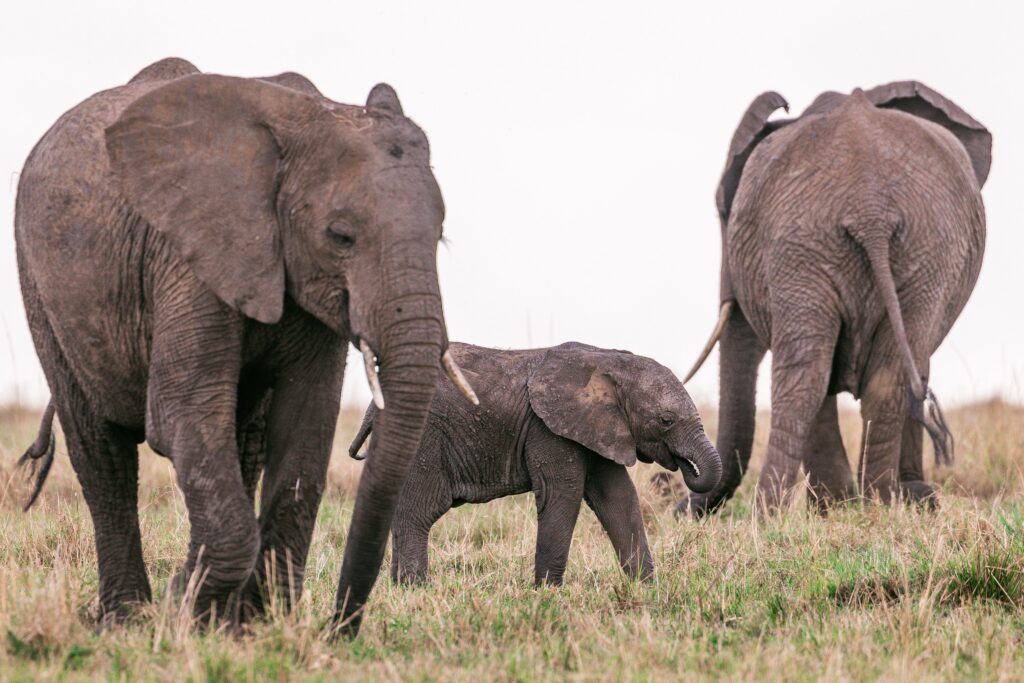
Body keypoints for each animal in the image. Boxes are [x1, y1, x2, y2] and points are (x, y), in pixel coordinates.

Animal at [14, 58, 475, 634]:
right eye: (340, 236)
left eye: (440, 237)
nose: (337, 629)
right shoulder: (187, 253)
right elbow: (180, 413)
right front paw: (187, 612)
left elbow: (305, 424)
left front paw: (250, 627)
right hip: (40, 285)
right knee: (101, 450)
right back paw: (127, 619)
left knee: (241, 442)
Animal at [348, 342, 724, 589]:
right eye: (666, 420)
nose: (683, 467)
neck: (608, 360)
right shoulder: (548, 429)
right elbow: (563, 495)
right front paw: (548, 593)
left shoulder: (596, 427)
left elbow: (618, 498)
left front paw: (647, 589)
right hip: (425, 437)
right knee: (419, 510)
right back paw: (415, 588)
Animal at [679, 82, 991, 516]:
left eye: (725, 216)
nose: (679, 505)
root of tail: (869, 206)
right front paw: (878, 501)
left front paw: (857, 502)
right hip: (900, 248)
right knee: (867, 375)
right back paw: (874, 502)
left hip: (830, 244)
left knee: (812, 376)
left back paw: (779, 511)